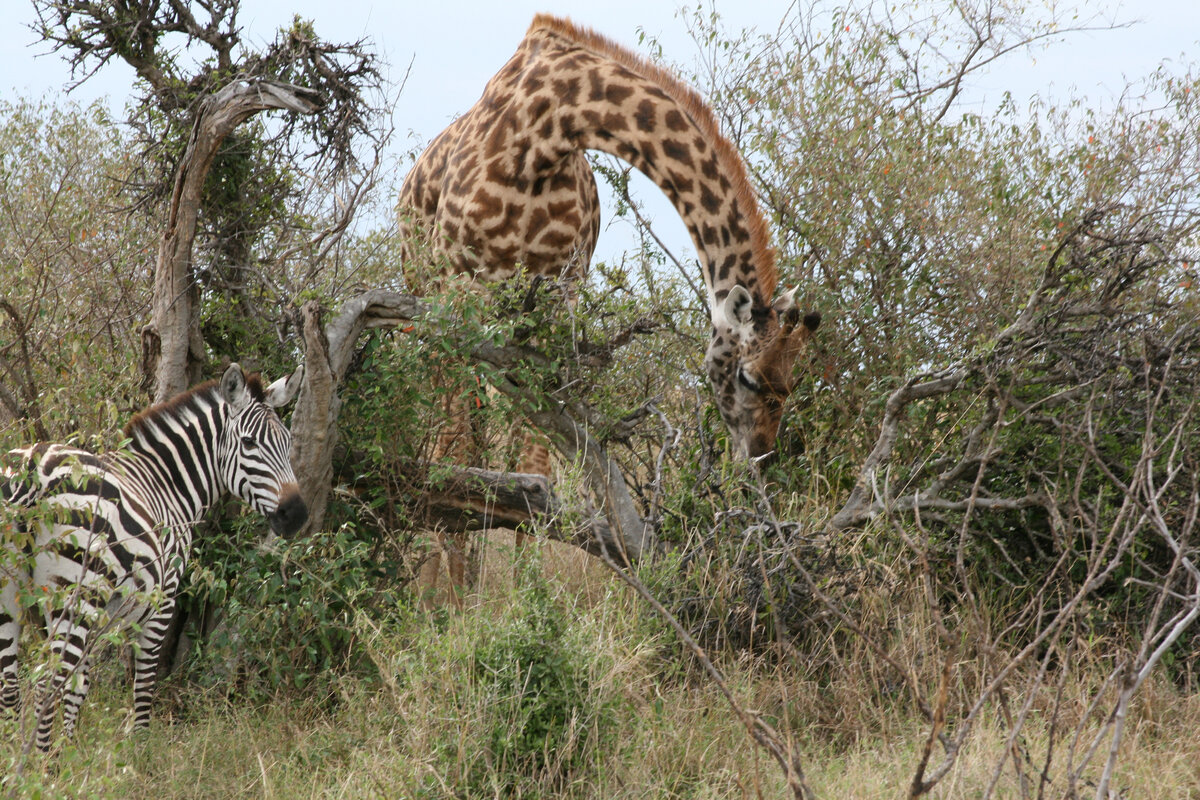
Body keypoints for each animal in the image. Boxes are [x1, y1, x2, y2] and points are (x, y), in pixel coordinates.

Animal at [2, 364, 309, 753]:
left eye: (287, 442)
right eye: (249, 443)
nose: (297, 515)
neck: (166, 484)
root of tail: (34, 468)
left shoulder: (104, 613)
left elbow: (79, 688)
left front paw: (71, 749)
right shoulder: (161, 600)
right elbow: (143, 685)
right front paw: (139, 752)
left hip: (14, 595)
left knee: (12, 686)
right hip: (76, 594)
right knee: (45, 684)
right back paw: (41, 763)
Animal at [398, 12, 820, 599]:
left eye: (792, 384)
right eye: (751, 379)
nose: (760, 456)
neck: (547, 130)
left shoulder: (555, 298)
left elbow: (537, 463)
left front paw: (528, 593)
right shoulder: (460, 290)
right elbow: (459, 448)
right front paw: (458, 607)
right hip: (424, 293)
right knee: (449, 432)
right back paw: (441, 577)